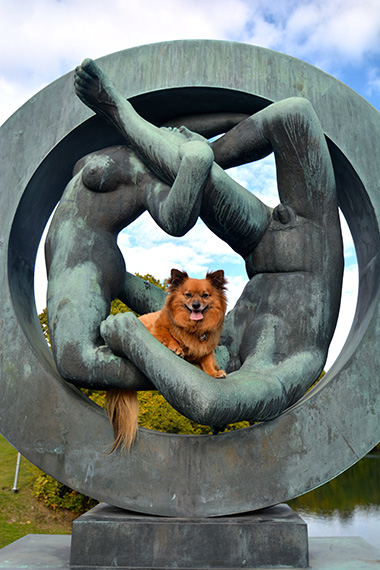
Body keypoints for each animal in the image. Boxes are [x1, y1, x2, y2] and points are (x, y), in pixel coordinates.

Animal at [105, 268, 227, 450]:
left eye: (205, 295)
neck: (194, 328)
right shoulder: (156, 329)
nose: (196, 305)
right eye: (188, 295)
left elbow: (207, 361)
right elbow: (167, 335)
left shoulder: (206, 350)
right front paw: (176, 347)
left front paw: (214, 373)